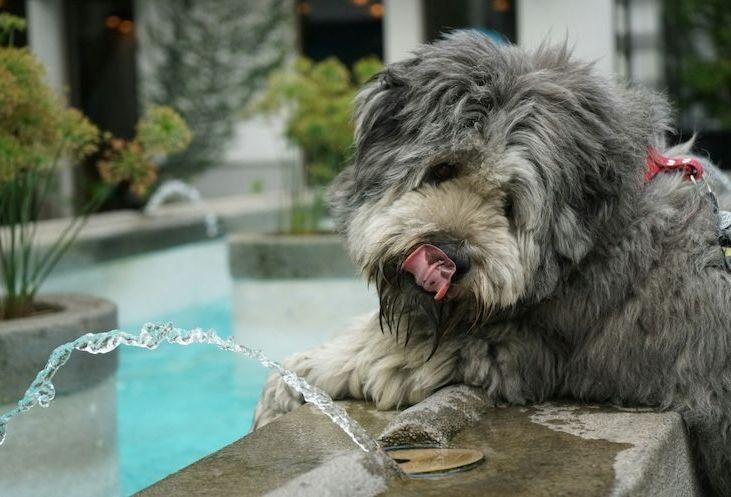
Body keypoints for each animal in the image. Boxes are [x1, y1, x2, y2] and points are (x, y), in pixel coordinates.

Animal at [253, 33, 731, 494]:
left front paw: (285, 385)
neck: (598, 237)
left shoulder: (503, 345)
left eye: (510, 204)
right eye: (442, 169)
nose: (447, 256)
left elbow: (369, 352)